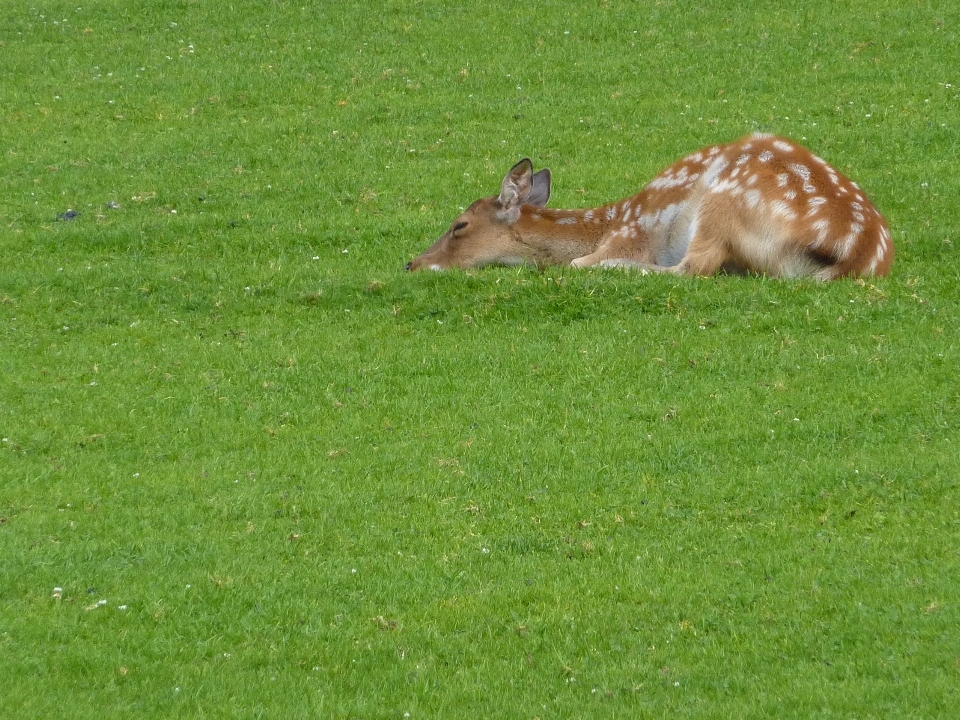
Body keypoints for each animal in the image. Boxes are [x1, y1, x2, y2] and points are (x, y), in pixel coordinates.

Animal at [404, 134, 892, 280]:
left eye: (460, 225)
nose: (412, 262)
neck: (604, 226)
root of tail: (859, 251)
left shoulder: (632, 233)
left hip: (724, 200)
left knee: (694, 267)